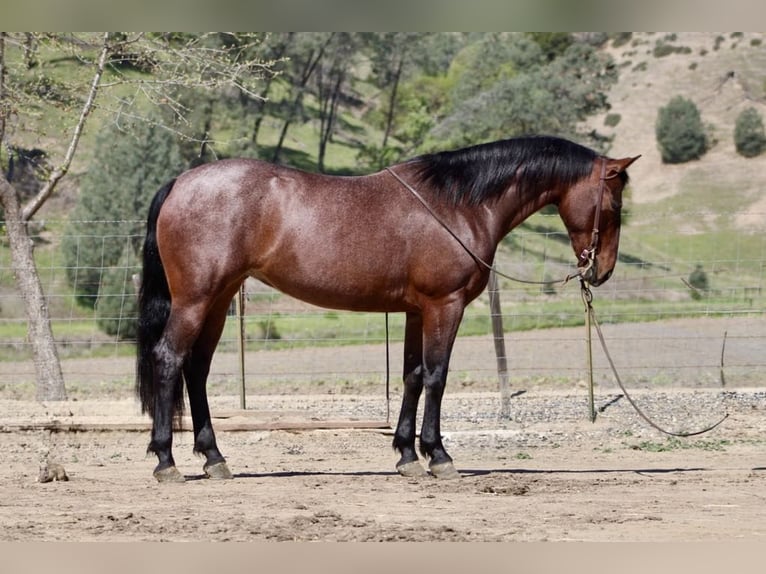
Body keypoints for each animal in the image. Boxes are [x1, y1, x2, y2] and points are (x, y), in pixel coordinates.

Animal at [136, 135, 639, 482]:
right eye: (614, 206)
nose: (602, 272)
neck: (458, 204)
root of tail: (181, 183)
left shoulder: (417, 311)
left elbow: (413, 375)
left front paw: (407, 455)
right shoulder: (444, 305)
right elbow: (437, 375)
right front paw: (439, 457)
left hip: (219, 300)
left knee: (196, 369)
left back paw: (214, 459)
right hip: (196, 300)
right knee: (169, 359)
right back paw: (166, 461)